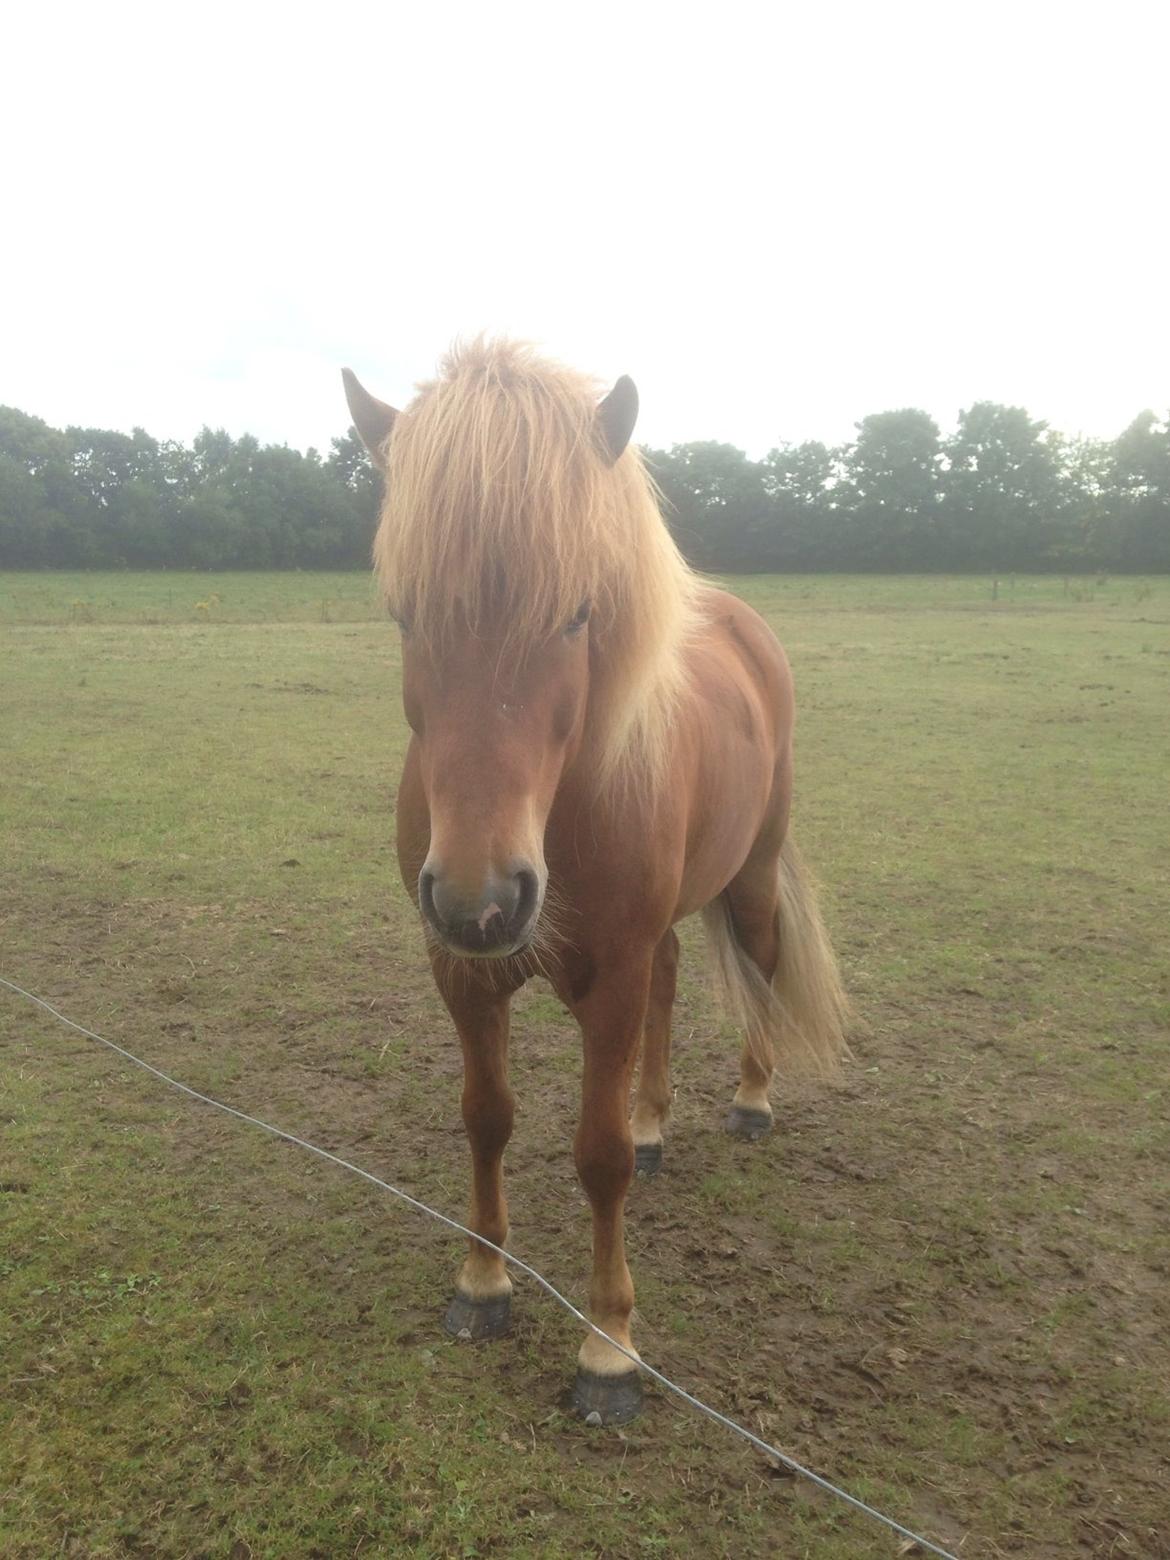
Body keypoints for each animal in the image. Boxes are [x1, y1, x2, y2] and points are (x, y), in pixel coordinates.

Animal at [343, 341, 848, 1428]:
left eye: (577, 616)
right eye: (404, 613)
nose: (482, 899)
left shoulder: (608, 977)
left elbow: (598, 1155)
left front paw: (609, 1347)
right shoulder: (465, 975)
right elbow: (486, 1117)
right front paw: (483, 1283)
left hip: (750, 872)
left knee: (759, 964)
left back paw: (750, 1102)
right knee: (672, 981)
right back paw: (660, 1122)